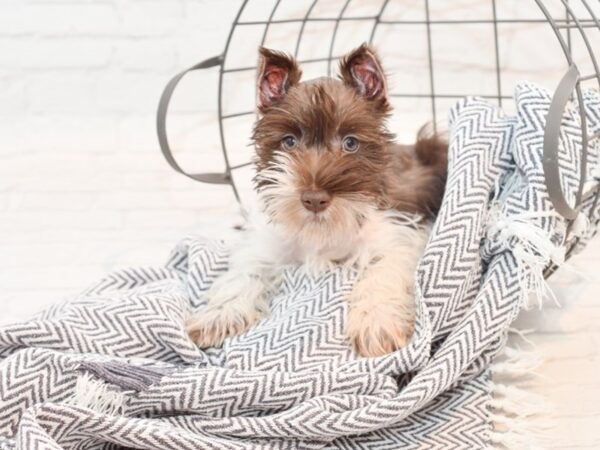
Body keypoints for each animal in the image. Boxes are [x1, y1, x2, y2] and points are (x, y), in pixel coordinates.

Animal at [185, 44, 448, 356]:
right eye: (289, 142)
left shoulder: (398, 234)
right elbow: (246, 270)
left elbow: (382, 270)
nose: (313, 199)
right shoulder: (270, 242)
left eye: (350, 143)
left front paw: (376, 322)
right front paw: (218, 315)